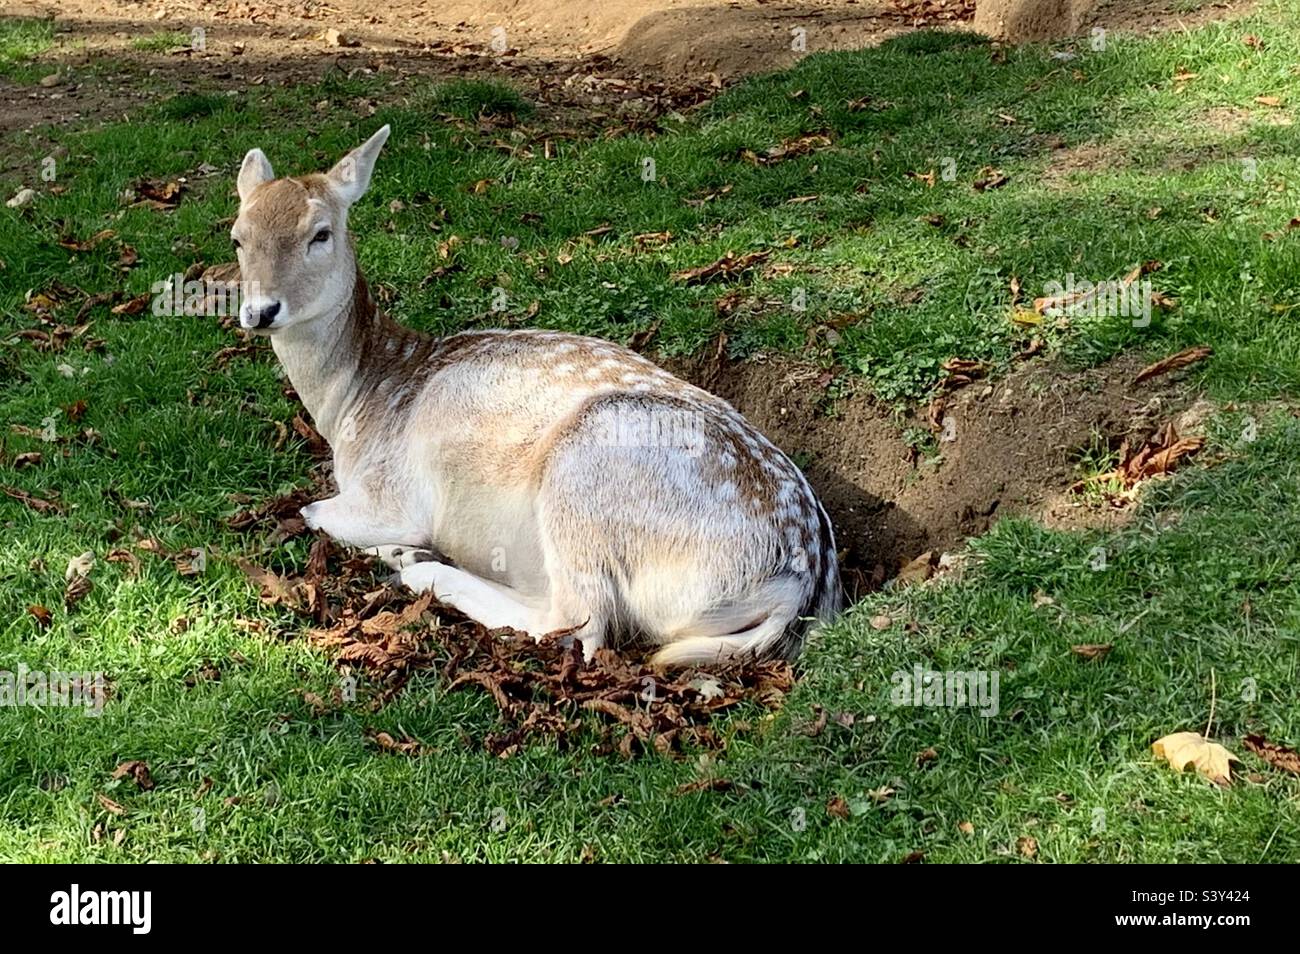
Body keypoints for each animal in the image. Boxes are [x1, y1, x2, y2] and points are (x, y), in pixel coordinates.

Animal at [229, 125, 841, 666]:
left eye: (321, 232)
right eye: (237, 236)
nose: (261, 311)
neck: (355, 403)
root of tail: (796, 583)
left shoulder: (390, 498)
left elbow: (310, 509)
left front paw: (402, 548)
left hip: (584, 477)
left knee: (578, 625)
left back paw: (419, 565)